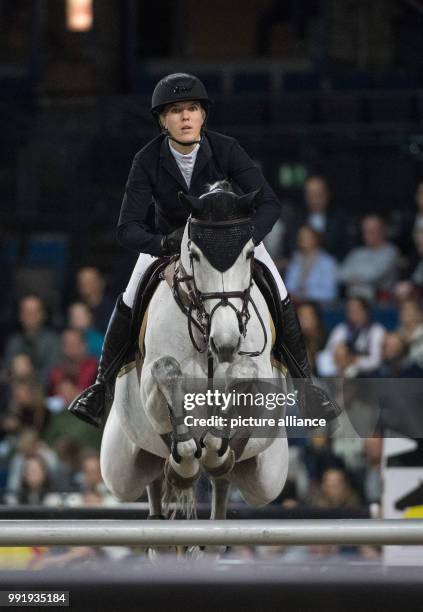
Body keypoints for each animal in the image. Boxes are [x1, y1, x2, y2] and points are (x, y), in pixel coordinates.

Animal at [101, 184, 290, 528]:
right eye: (195, 255)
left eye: (249, 254)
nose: (225, 341)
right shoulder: (150, 387)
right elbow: (168, 374)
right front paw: (184, 464)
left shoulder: (260, 387)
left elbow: (241, 381)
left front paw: (214, 450)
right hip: (120, 468)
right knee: (151, 481)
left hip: (267, 479)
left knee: (224, 483)